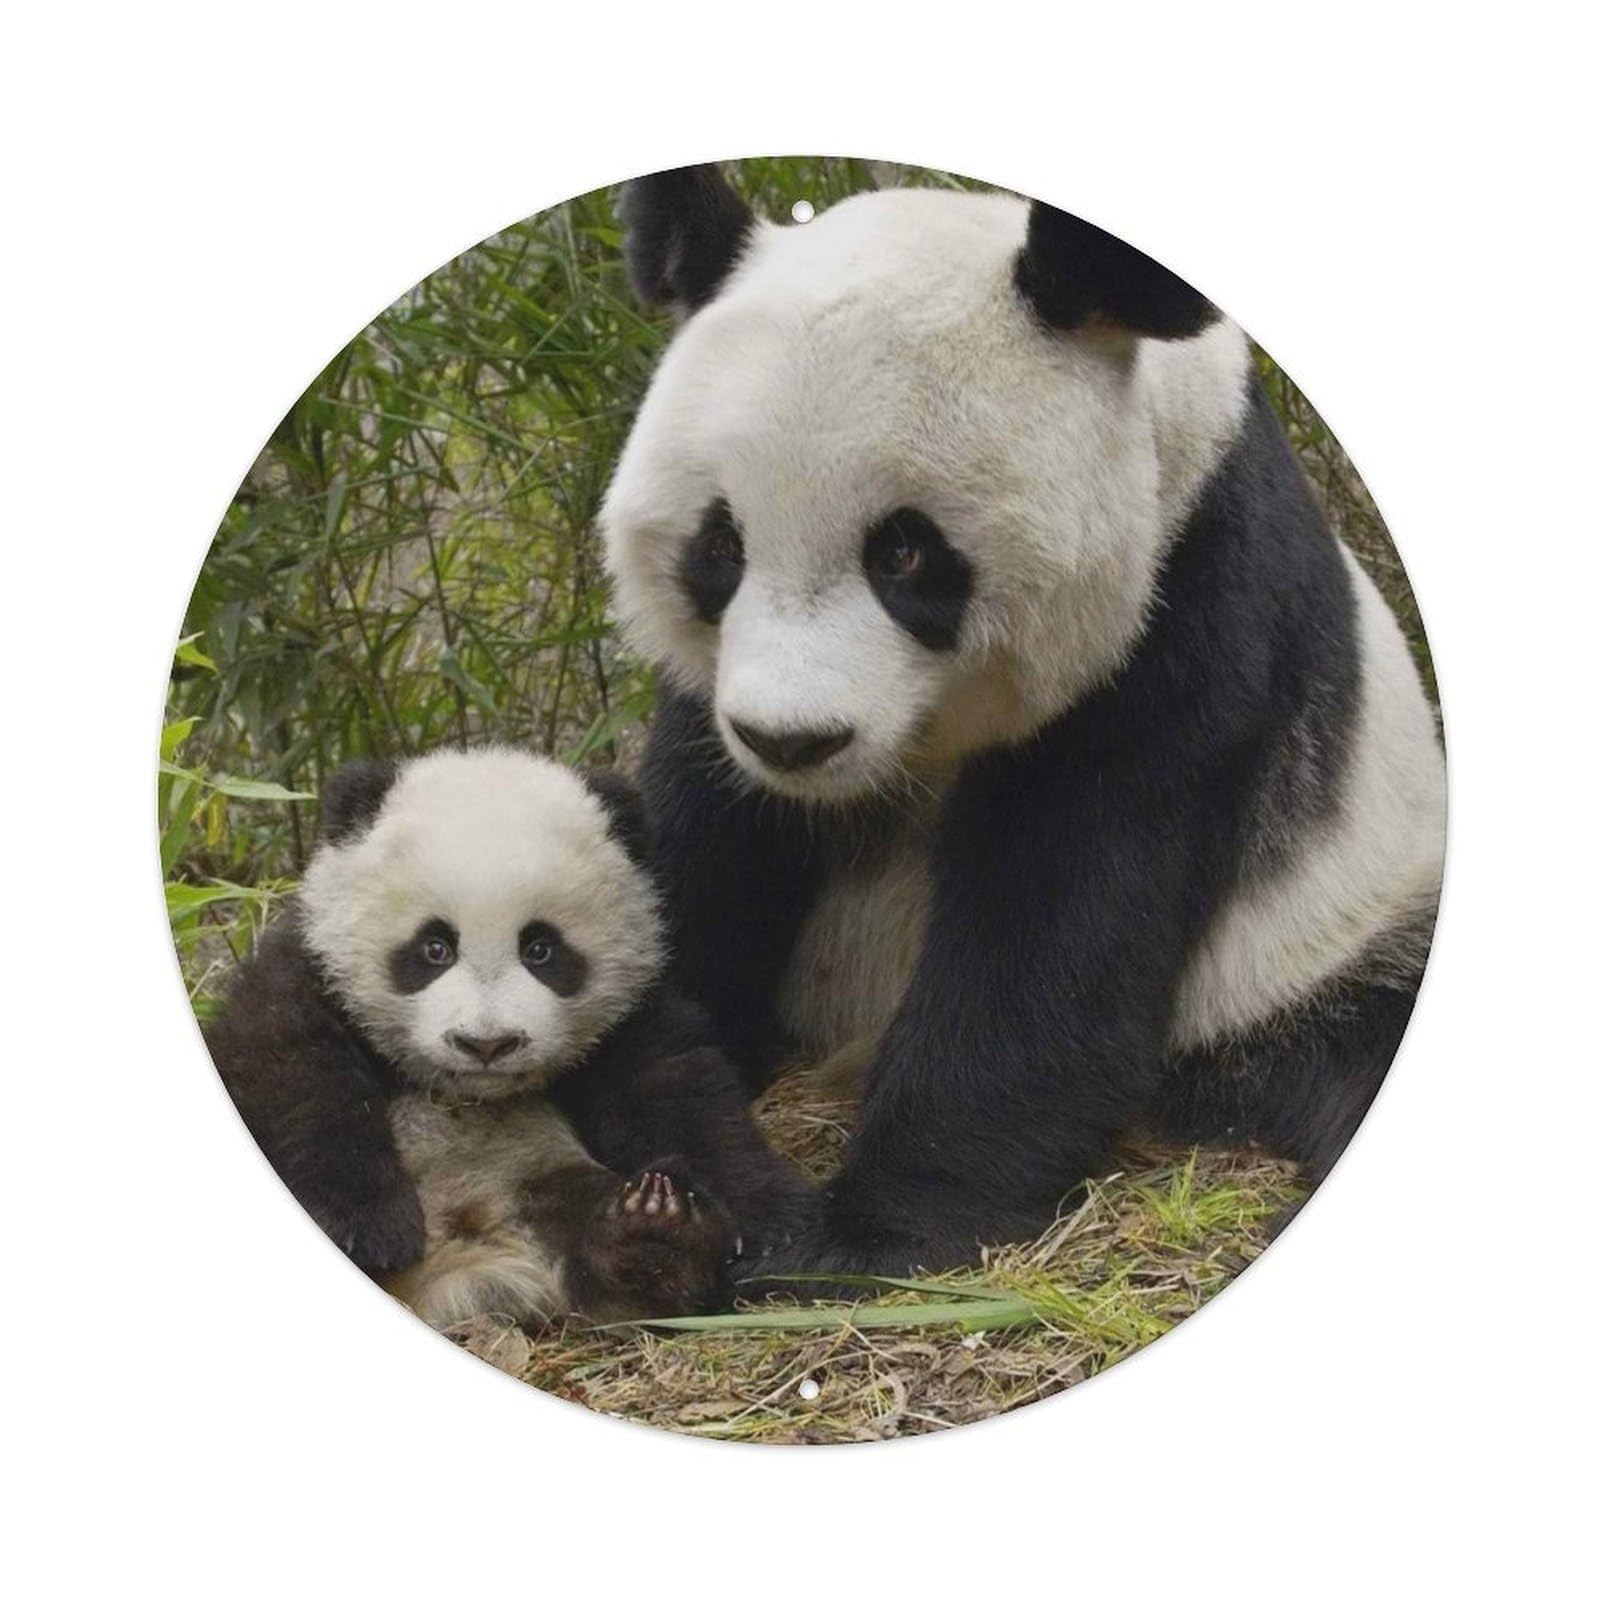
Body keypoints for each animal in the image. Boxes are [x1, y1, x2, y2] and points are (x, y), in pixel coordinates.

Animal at [203, 746, 813, 1327]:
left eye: (541, 949)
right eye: (434, 947)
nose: (487, 1044)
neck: (466, 1093)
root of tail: (463, 1265)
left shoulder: (630, 1012)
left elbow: (678, 1092)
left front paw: (772, 1222)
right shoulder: (309, 970)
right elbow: (289, 1076)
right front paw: (365, 1228)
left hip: (540, 1177)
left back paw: (654, 1236)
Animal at [600, 166, 1447, 1282]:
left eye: (905, 553)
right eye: (720, 547)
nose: (794, 741)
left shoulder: (1188, 601)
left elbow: (1058, 917)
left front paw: (863, 1235)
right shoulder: (714, 708)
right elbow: (697, 851)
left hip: (1331, 939)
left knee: (1359, 1035)